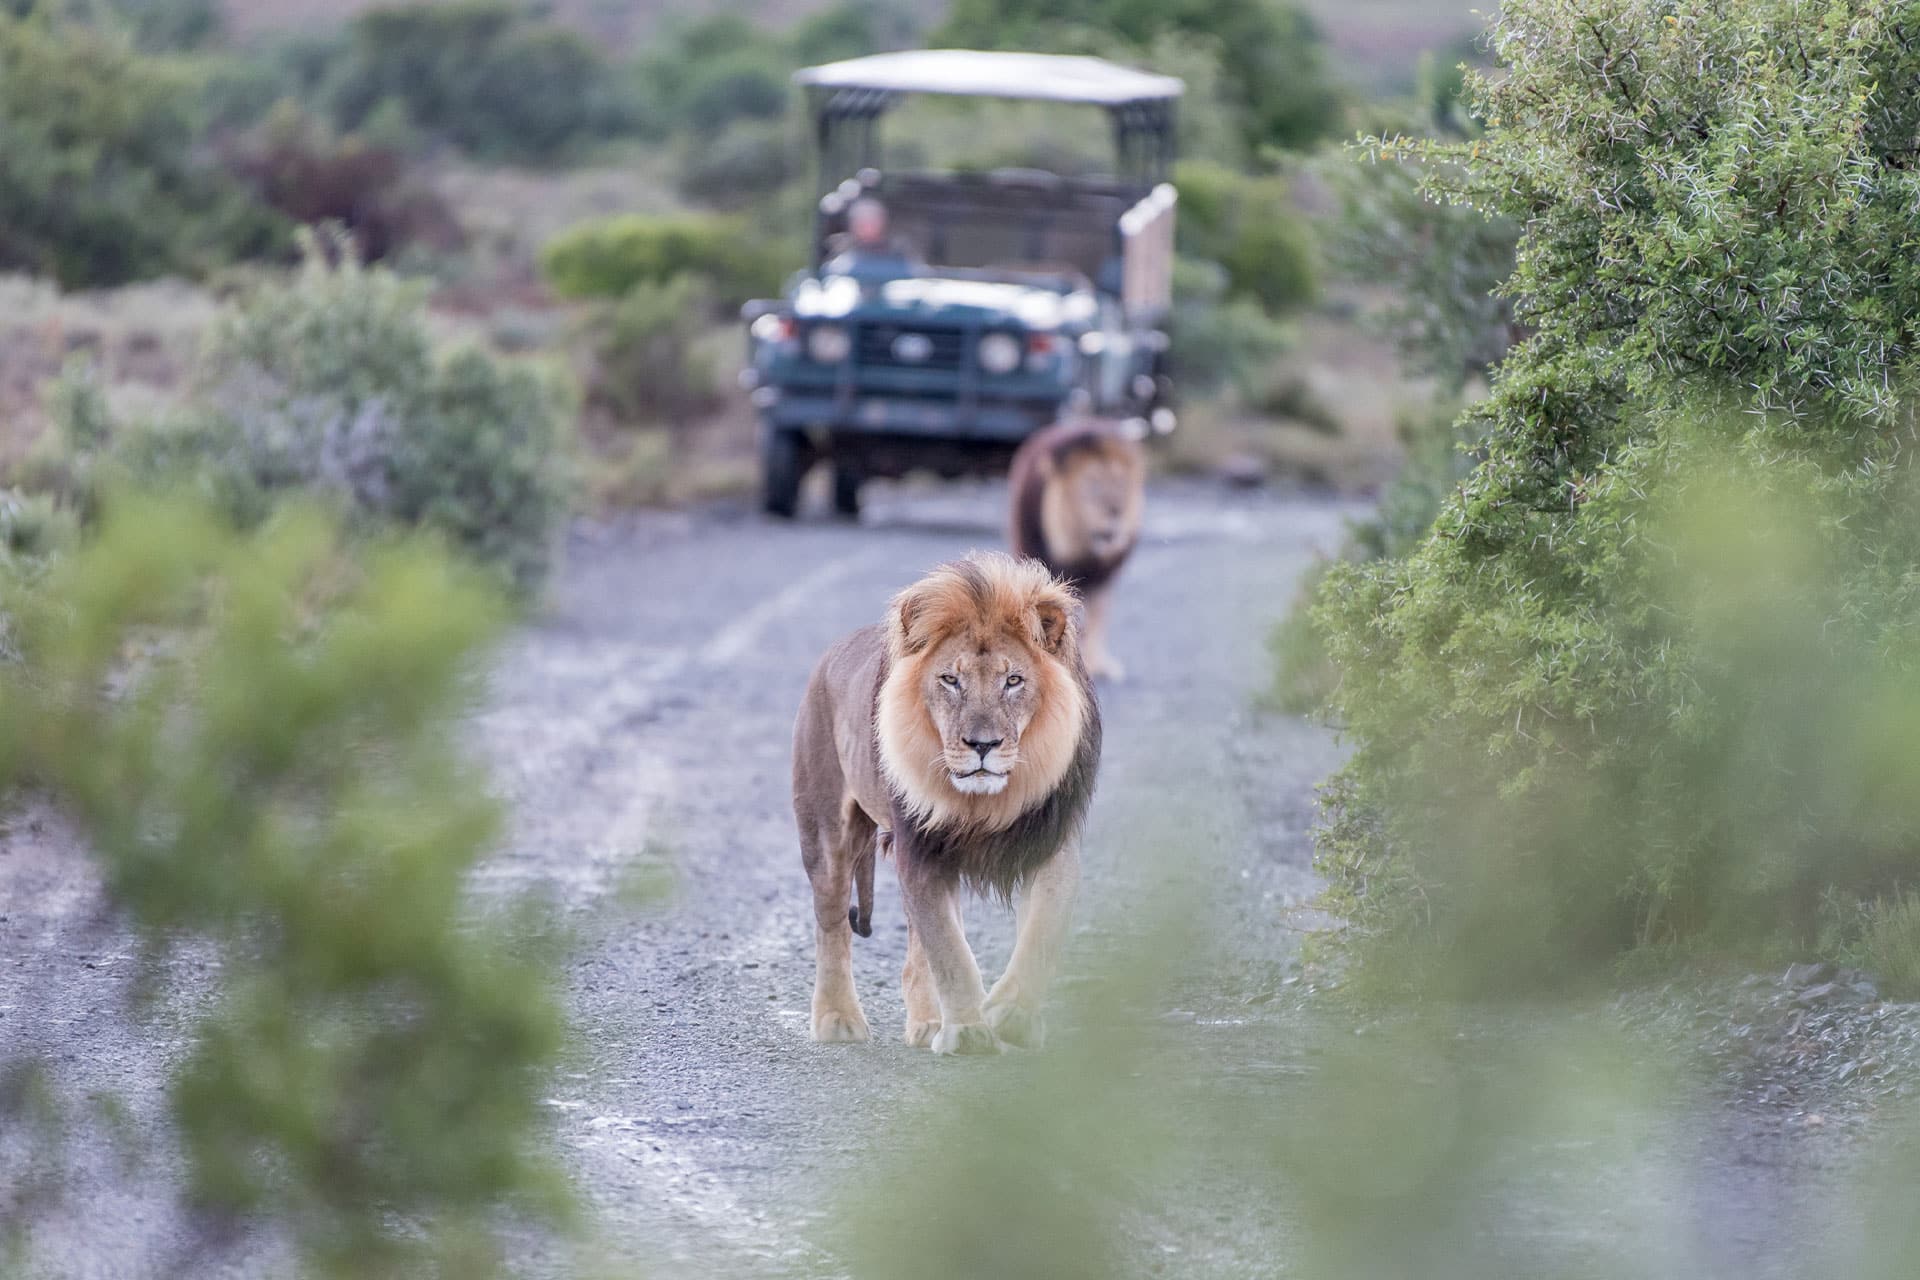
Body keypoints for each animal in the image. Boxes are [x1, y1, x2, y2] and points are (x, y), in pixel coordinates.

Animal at [791, 552, 1100, 1055]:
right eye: (951, 680)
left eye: (1013, 680)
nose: (983, 745)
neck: (987, 803)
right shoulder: (921, 850)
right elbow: (950, 953)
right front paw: (969, 1032)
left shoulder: (1051, 843)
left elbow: (1040, 935)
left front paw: (1010, 1016)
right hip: (825, 833)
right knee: (832, 922)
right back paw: (838, 1020)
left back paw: (928, 1024)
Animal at [1007, 418, 1146, 681]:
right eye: (1092, 484)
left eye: (1120, 483)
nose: (1116, 511)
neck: (1084, 554)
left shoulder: (1103, 578)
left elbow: (1098, 619)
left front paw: (1098, 664)